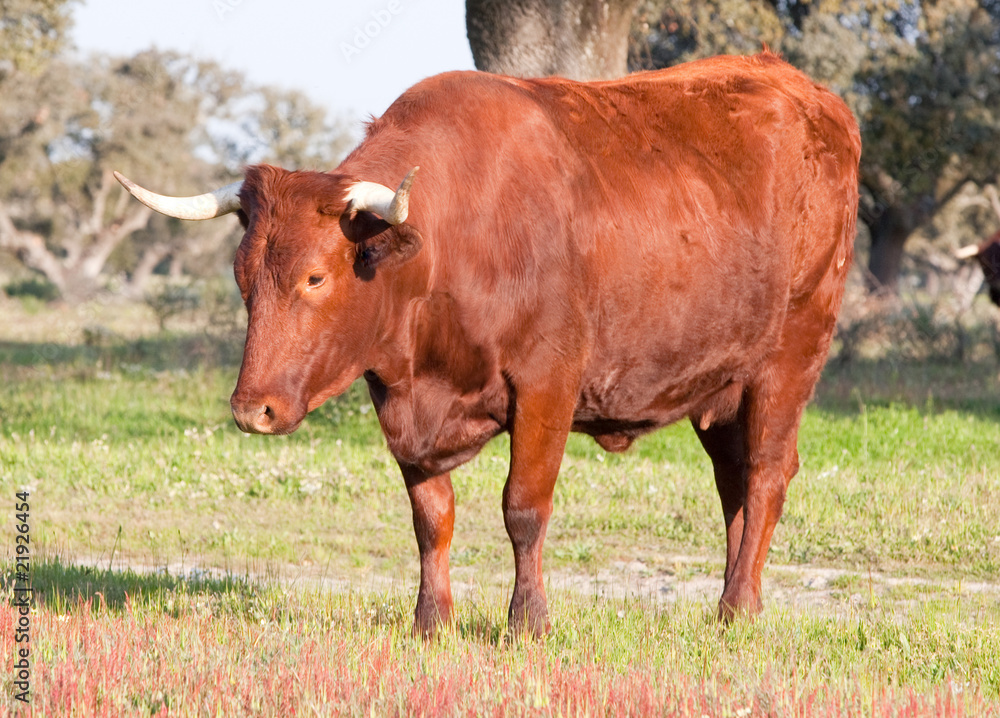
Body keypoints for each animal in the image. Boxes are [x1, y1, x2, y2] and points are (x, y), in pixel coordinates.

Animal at [115, 53, 860, 640]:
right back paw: (740, 597)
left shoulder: (547, 384)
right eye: (242, 276)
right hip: (720, 383)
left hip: (790, 358)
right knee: (734, 483)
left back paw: (737, 610)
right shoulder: (401, 403)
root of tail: (806, 91)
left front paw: (527, 621)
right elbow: (431, 517)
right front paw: (431, 620)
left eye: (315, 277)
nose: (252, 410)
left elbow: (523, 509)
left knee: (765, 475)